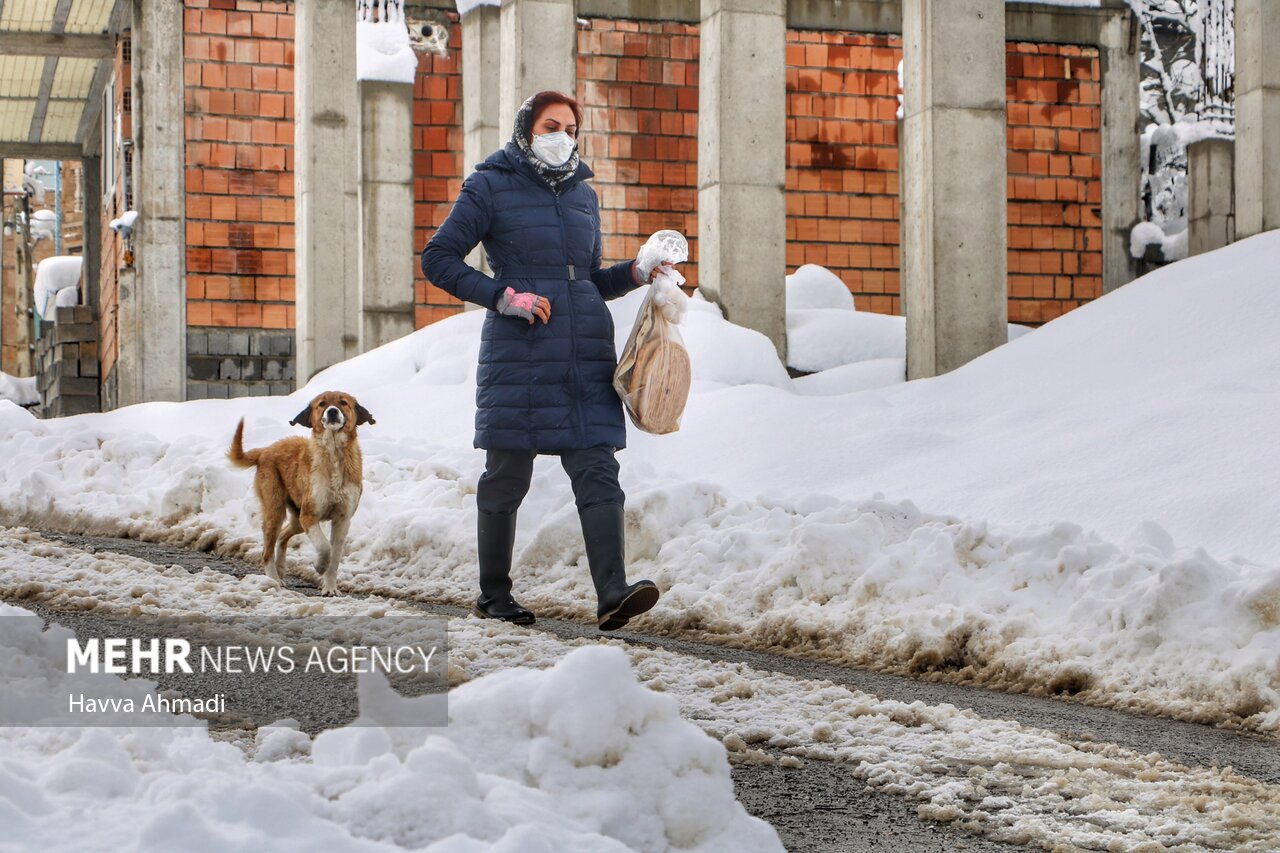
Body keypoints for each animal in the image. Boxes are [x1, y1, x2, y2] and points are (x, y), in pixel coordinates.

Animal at [227, 389, 373, 591]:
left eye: (343, 402)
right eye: (322, 404)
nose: (332, 411)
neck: (334, 453)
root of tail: (265, 450)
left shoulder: (342, 520)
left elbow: (335, 557)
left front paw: (330, 588)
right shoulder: (309, 516)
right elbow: (324, 547)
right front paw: (319, 566)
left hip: (296, 519)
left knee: (282, 536)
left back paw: (281, 568)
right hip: (276, 511)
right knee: (266, 551)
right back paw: (274, 580)